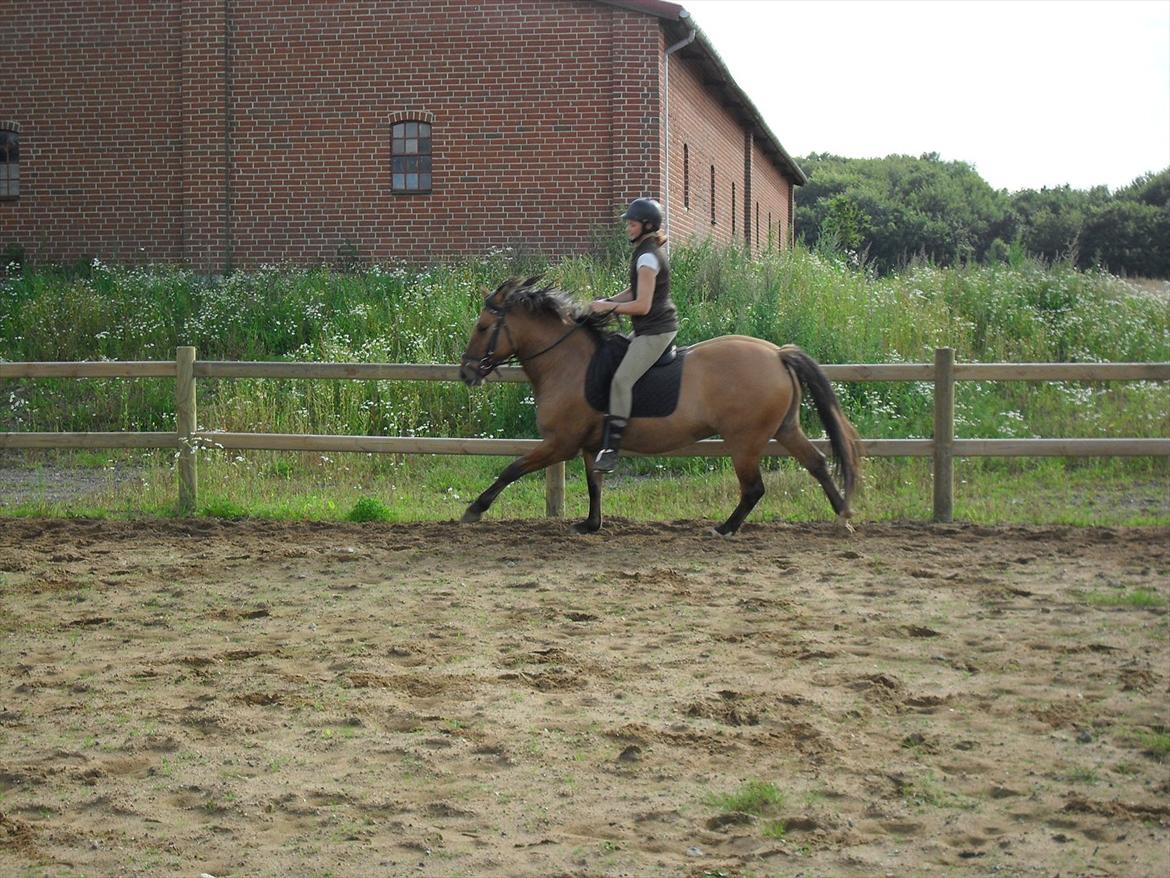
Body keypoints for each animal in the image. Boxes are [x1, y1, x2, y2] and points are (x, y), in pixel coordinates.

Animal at [456, 276, 861, 536]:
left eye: (482, 327)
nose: (466, 372)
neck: (567, 362)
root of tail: (777, 354)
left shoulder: (561, 443)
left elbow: (512, 469)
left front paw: (474, 509)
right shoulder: (589, 445)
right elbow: (594, 484)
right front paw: (590, 524)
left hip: (744, 440)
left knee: (754, 488)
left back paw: (726, 528)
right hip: (784, 428)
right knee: (816, 463)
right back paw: (843, 516)